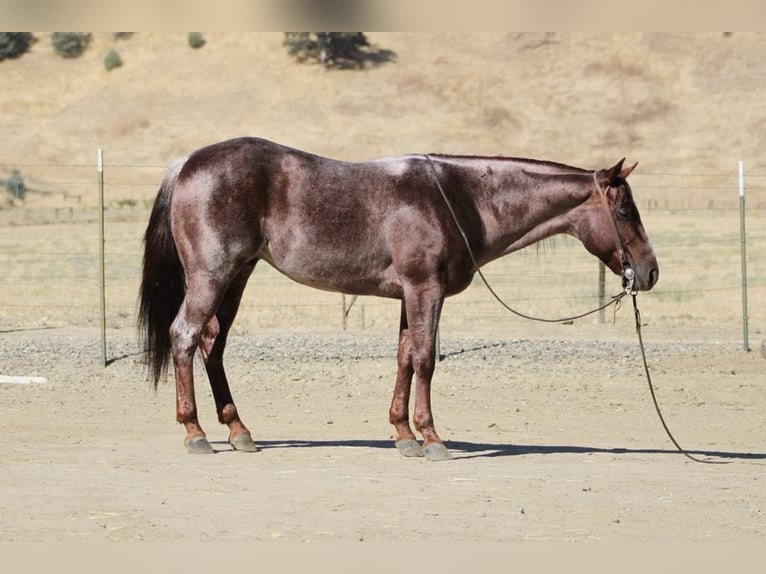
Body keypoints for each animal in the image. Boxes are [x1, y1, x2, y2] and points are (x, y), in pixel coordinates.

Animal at [139, 137, 658, 460]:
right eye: (626, 210)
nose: (650, 271)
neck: (460, 199)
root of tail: (186, 164)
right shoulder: (425, 288)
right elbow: (425, 358)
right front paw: (431, 438)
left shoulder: (411, 294)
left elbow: (406, 358)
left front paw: (403, 434)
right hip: (212, 276)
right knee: (185, 336)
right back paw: (195, 432)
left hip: (237, 276)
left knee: (213, 345)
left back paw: (238, 431)